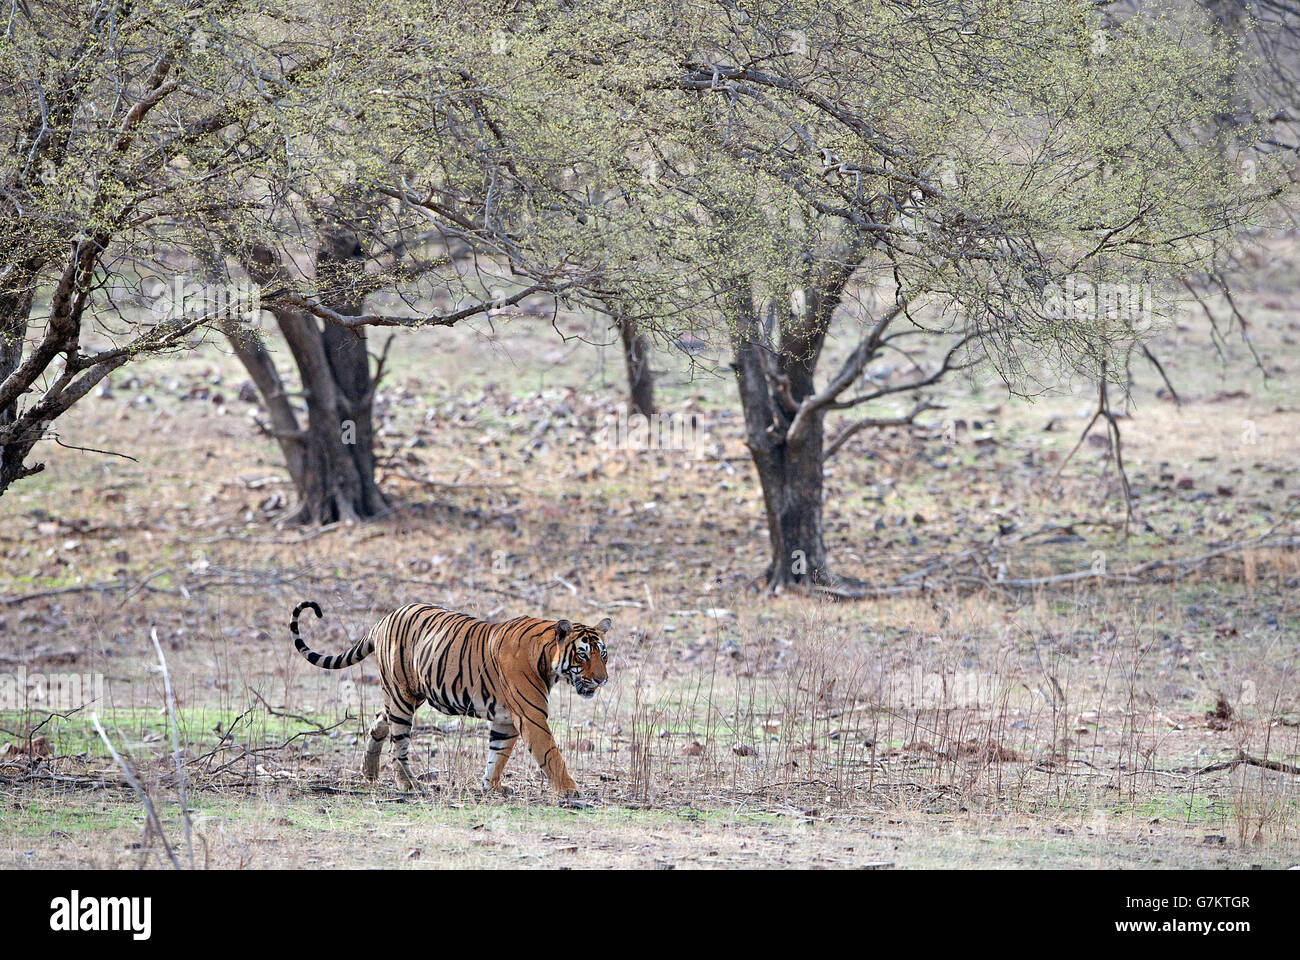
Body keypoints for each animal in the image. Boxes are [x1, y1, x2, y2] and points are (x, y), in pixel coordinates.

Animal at [287, 600, 611, 796]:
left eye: (603, 654)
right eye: (583, 655)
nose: (602, 680)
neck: (547, 659)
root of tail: (383, 619)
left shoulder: (506, 719)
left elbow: (498, 754)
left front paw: (492, 786)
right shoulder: (531, 716)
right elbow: (550, 753)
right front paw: (569, 790)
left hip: (406, 693)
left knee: (379, 723)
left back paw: (370, 772)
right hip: (403, 696)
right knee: (398, 745)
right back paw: (408, 783)